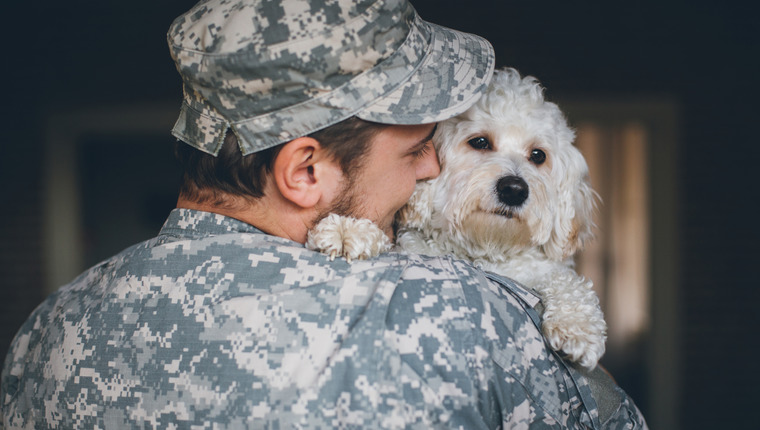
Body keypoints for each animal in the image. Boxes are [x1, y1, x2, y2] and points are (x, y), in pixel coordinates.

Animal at [306, 68, 608, 370]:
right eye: (480, 142)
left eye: (538, 155)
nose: (514, 190)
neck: (485, 248)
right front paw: (348, 230)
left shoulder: (539, 269)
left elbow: (566, 280)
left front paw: (577, 326)